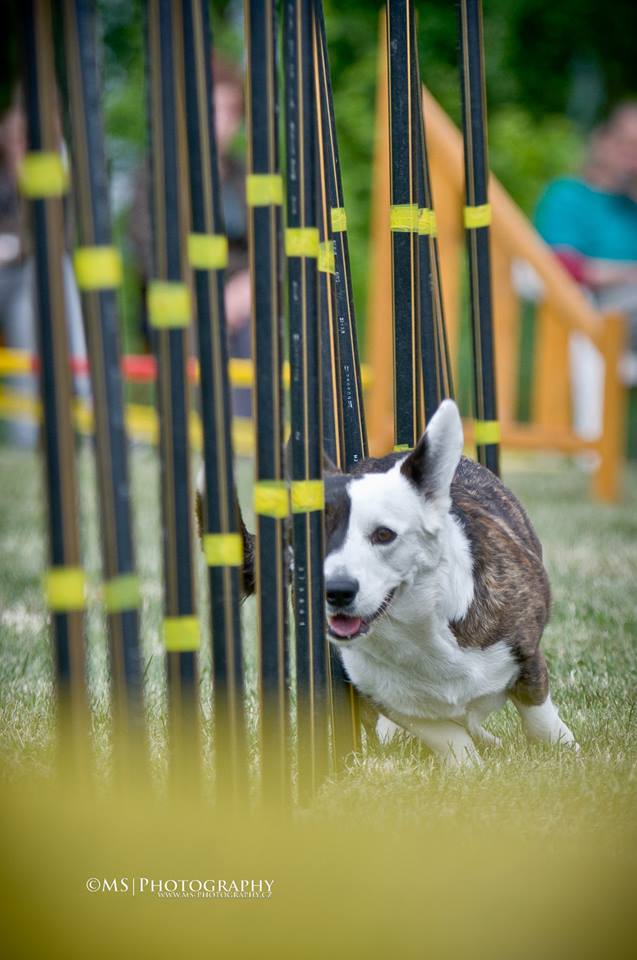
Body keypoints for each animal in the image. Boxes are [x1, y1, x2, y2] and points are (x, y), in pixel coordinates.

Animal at [322, 398, 576, 764]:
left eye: (384, 534)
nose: (336, 592)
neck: (416, 631)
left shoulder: (528, 656)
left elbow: (539, 715)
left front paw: (565, 749)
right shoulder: (388, 698)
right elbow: (447, 736)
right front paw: (468, 766)